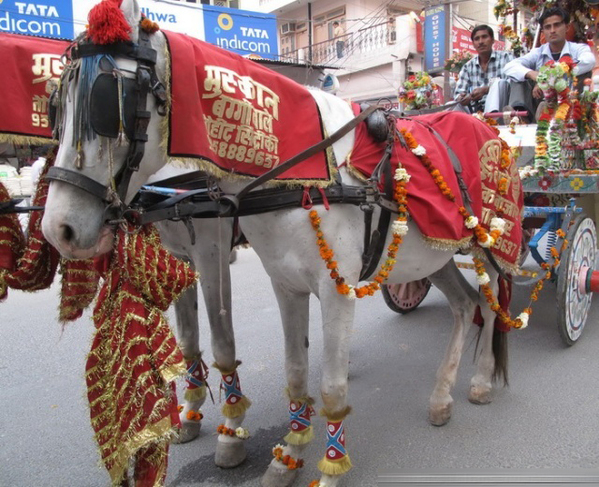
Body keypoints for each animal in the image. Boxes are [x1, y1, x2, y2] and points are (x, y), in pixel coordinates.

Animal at [41, 1, 516, 486]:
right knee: (465, 305)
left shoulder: (294, 277)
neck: (302, 173)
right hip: (431, 255)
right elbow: (289, 368)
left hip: (491, 245)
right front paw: (287, 453)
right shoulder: (278, 282)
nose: (58, 229)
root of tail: (489, 130)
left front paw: (323, 464)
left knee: (492, 300)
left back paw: (479, 380)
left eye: (105, 102)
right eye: (55, 108)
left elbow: (321, 384)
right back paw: (441, 396)